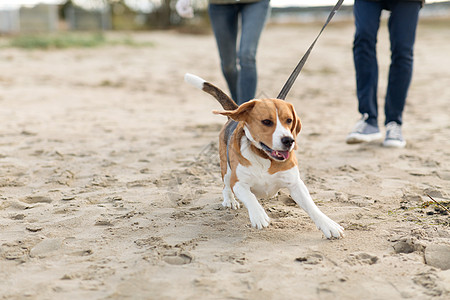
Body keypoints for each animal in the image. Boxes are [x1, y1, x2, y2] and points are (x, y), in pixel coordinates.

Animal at [185, 73, 342, 239]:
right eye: (266, 122)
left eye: (289, 120)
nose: (289, 140)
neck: (264, 157)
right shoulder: (238, 183)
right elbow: (250, 197)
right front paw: (259, 215)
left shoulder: (295, 183)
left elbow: (311, 206)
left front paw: (328, 225)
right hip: (226, 169)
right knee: (226, 186)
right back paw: (230, 200)